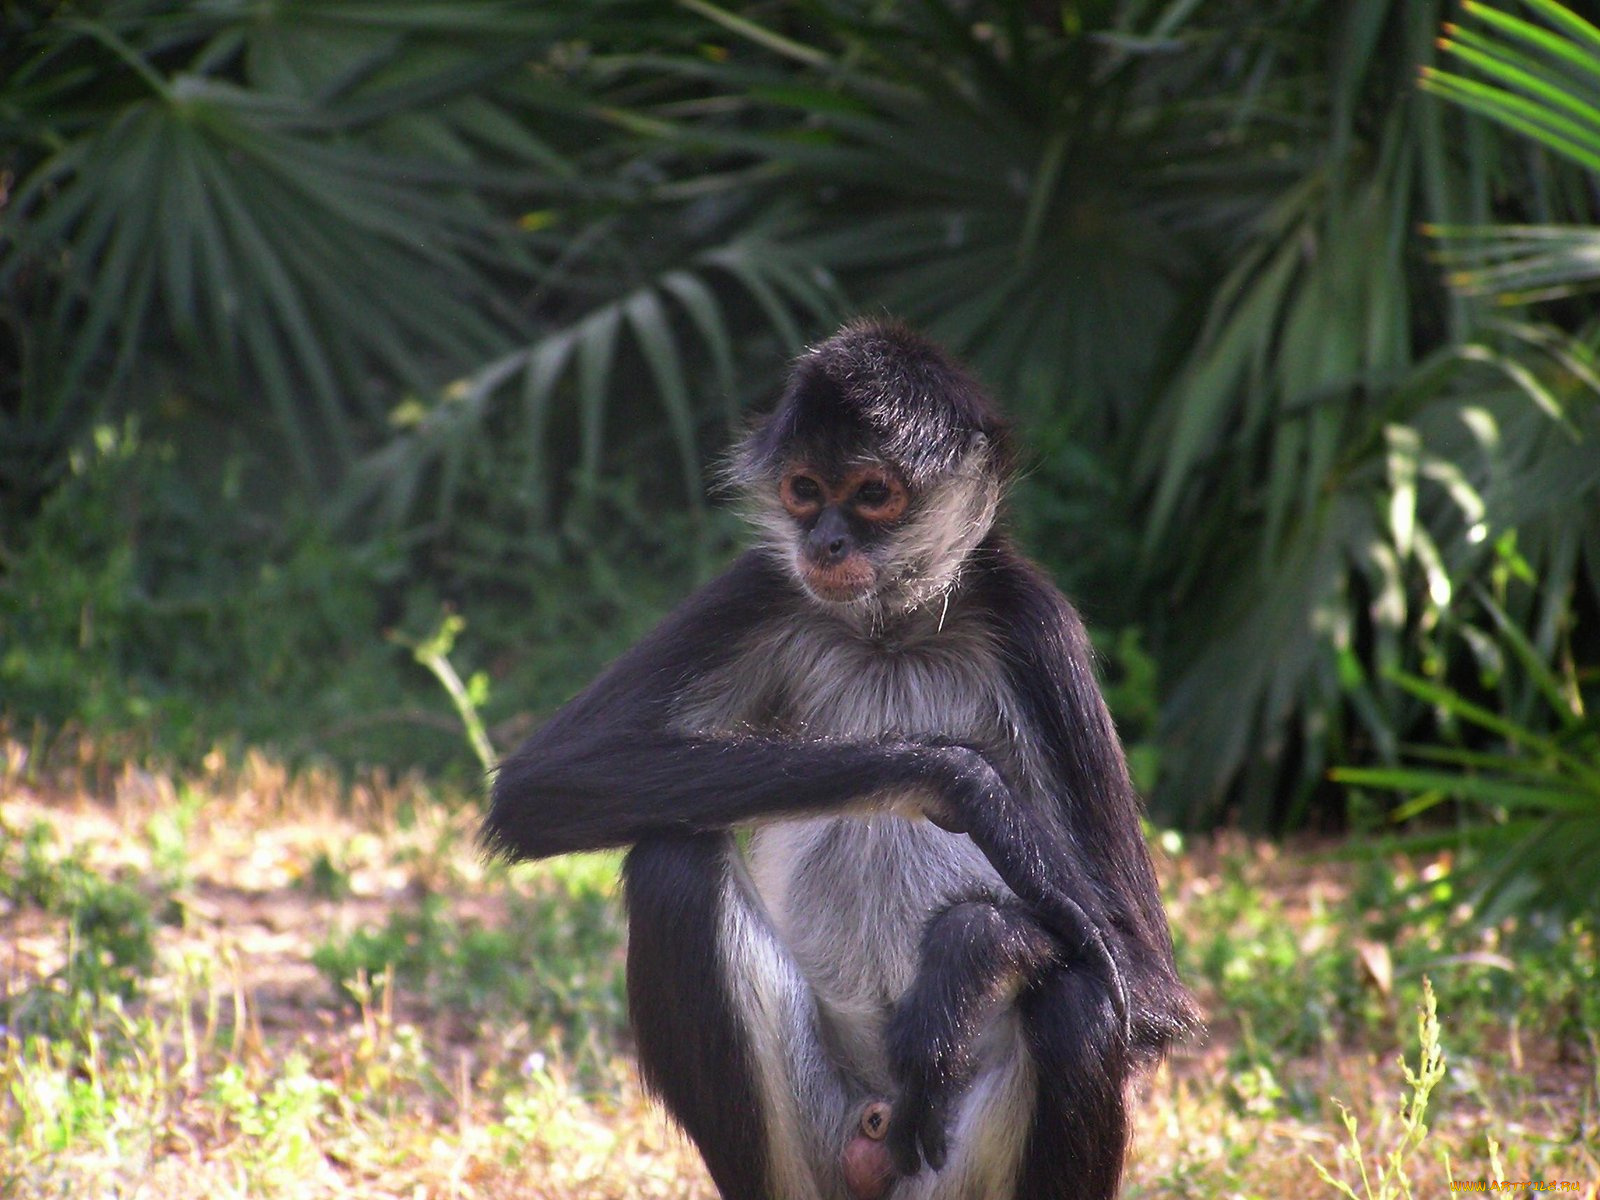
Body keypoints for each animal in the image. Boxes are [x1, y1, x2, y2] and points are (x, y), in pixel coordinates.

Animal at [484, 320, 1197, 1200]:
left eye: (871, 494)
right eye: (803, 490)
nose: (824, 541)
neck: (890, 632)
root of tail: (878, 1127)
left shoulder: (1037, 626)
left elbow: (1145, 984)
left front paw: (970, 953)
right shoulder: (766, 585)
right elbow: (539, 786)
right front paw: (967, 784)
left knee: (1079, 1001)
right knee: (672, 869)